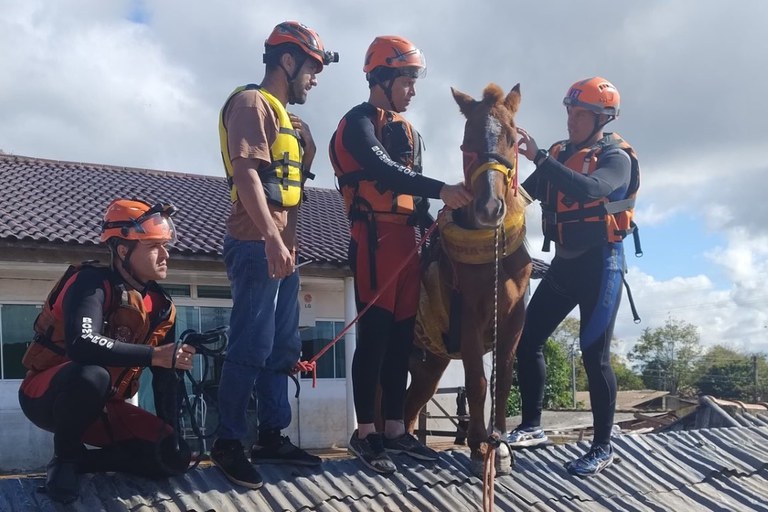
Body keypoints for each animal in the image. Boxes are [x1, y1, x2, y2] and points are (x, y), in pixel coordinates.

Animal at [404, 84, 532, 476]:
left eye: (512, 139)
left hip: (430, 362)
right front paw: (479, 447)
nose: (490, 208)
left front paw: (501, 445)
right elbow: (477, 380)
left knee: (410, 404)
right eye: (466, 142)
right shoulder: (470, 319)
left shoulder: (514, 319)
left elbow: (502, 380)